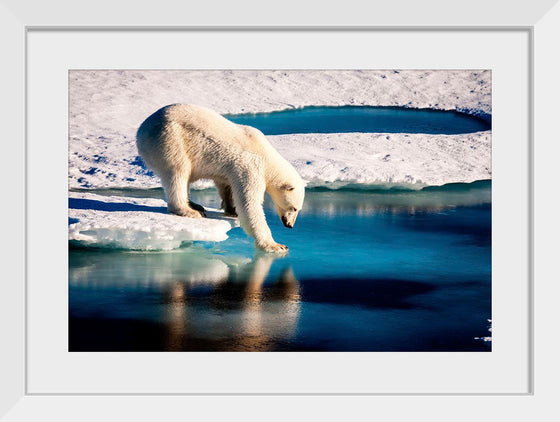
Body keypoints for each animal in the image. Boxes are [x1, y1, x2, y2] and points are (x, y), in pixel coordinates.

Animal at [137, 104, 306, 252]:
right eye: (294, 208)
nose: (289, 225)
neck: (266, 156)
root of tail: (141, 130)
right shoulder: (250, 167)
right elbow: (249, 204)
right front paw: (277, 245)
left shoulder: (231, 169)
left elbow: (226, 185)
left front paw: (232, 209)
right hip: (170, 140)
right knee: (178, 172)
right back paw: (189, 210)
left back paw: (195, 205)